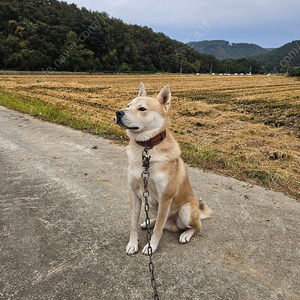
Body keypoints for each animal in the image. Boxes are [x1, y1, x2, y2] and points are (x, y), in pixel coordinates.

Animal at [115, 82, 211, 255]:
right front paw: (132, 244)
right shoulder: (134, 194)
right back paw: (149, 222)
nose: (118, 113)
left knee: (195, 226)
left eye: (142, 109)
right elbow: (133, 224)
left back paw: (185, 234)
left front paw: (151, 246)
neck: (146, 148)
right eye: (128, 105)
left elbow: (158, 229)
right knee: (161, 220)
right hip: (154, 206)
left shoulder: (165, 198)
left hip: (185, 211)